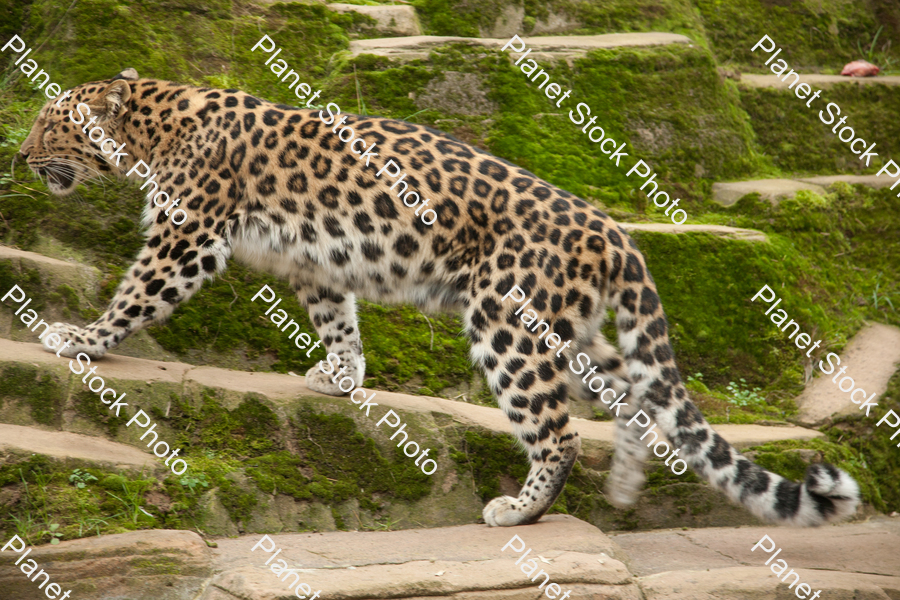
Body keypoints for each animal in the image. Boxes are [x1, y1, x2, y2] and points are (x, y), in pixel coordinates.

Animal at [21, 68, 860, 528]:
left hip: (510, 323)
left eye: (50, 123)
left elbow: (136, 293)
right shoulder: (316, 263)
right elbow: (337, 318)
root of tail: (617, 233)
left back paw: (521, 509)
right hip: (568, 331)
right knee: (634, 390)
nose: (20, 155)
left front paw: (79, 338)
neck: (152, 126)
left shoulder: (187, 238)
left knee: (558, 431)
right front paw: (341, 376)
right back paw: (624, 483)